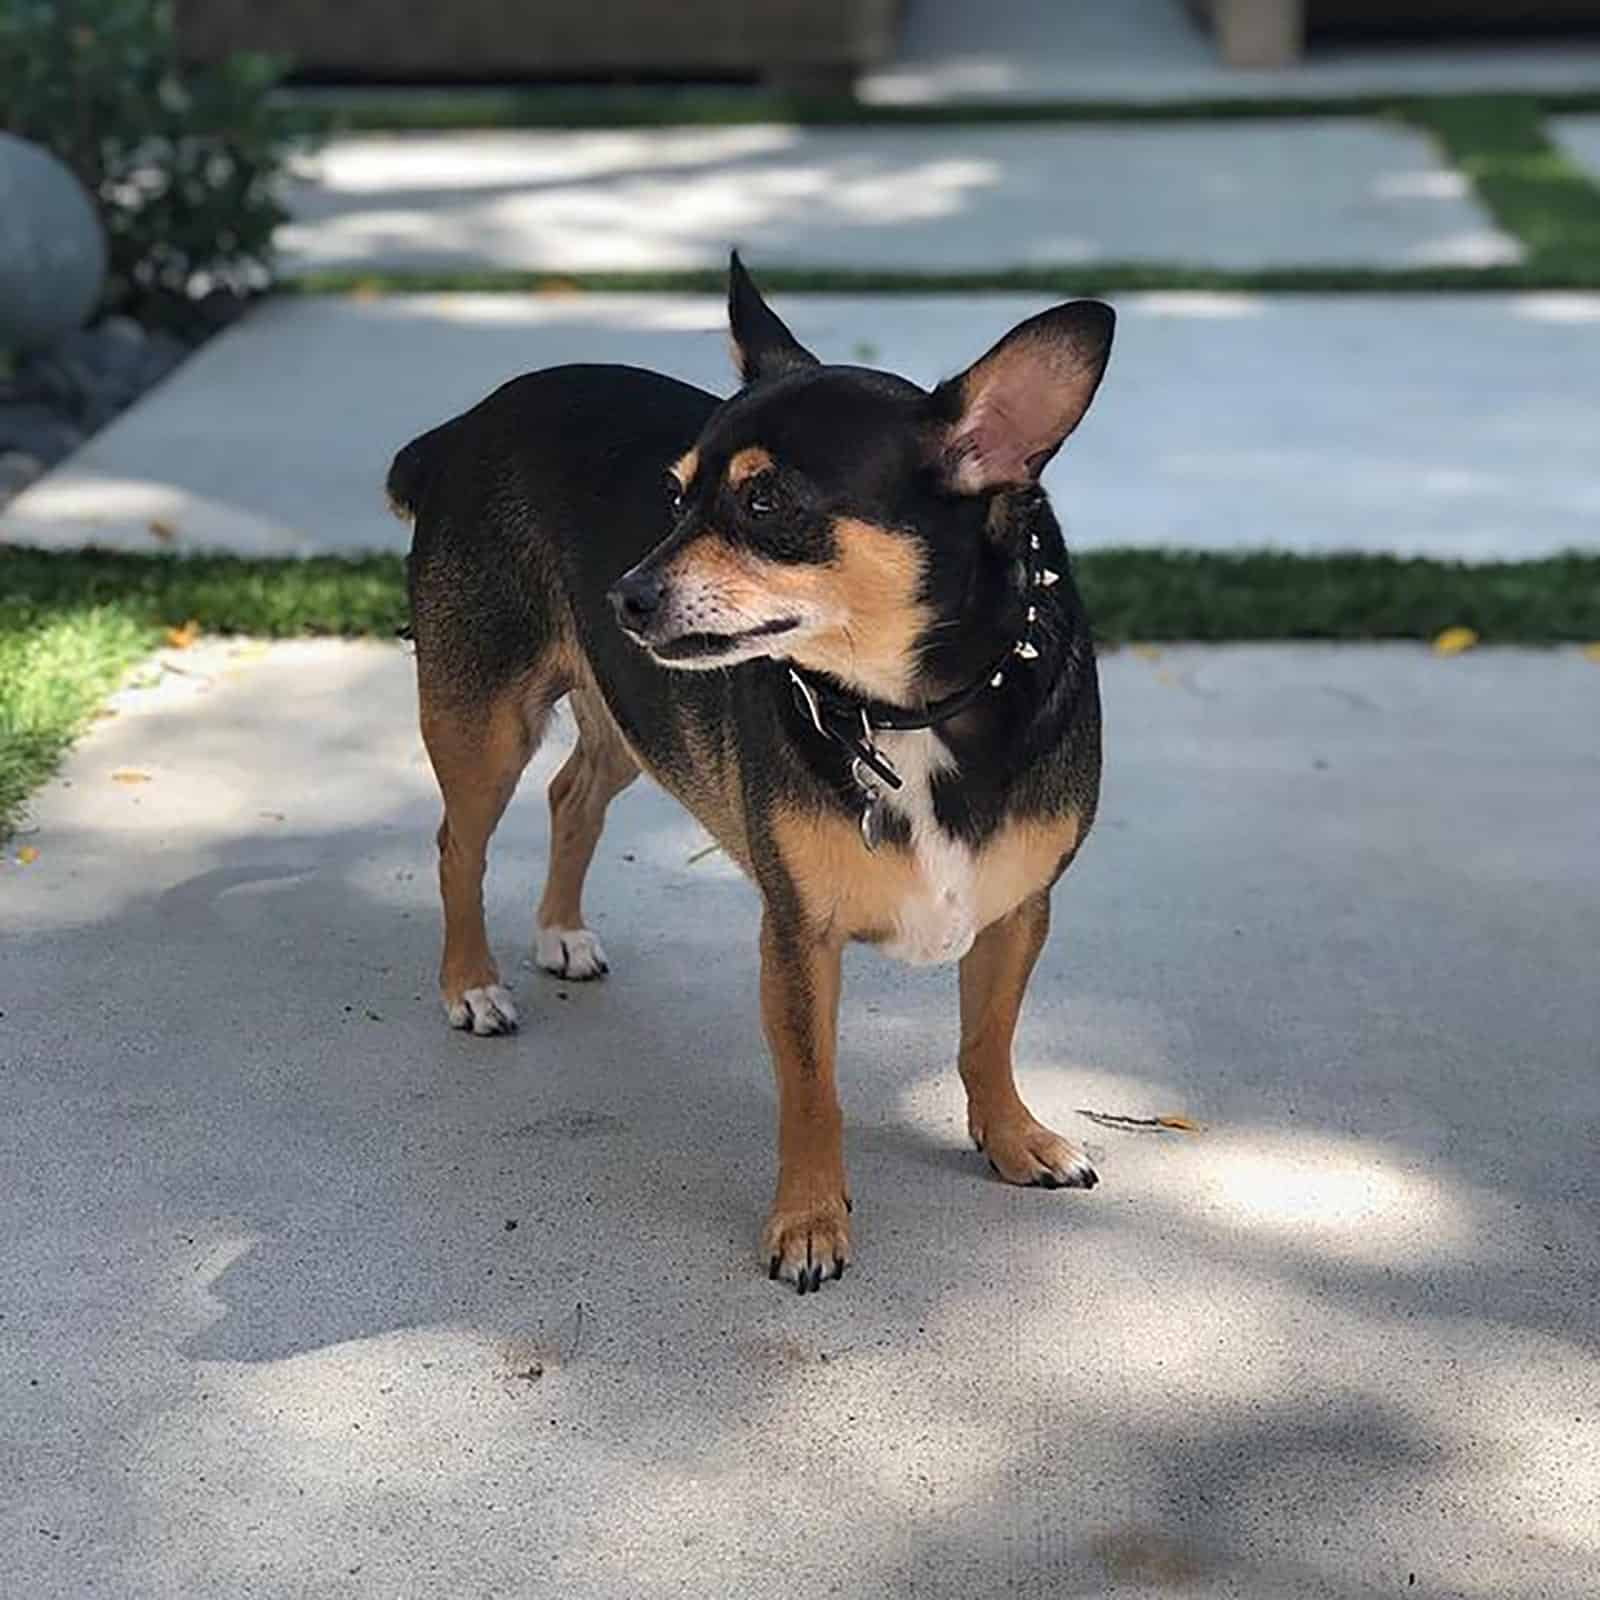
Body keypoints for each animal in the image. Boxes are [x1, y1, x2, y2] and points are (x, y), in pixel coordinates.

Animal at [387, 256, 1113, 1292]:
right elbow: (812, 1091)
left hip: (634, 719)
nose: (623, 594)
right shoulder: (796, 940)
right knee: (459, 844)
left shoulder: (1016, 912)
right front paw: (809, 1222)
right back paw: (472, 985)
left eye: (766, 504)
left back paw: (560, 932)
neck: (909, 710)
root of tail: (463, 425)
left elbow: (987, 1039)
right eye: (674, 496)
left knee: (572, 794)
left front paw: (1013, 1139)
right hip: (483, 724)